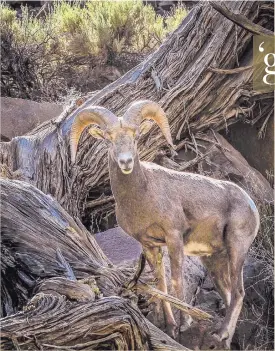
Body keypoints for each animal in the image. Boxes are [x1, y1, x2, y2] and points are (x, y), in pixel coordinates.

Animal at [70, 100, 260, 348]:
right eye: (109, 138)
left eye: (135, 137)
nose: (126, 162)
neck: (143, 197)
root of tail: (251, 205)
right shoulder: (150, 245)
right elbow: (161, 285)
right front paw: (171, 328)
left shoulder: (173, 237)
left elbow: (176, 281)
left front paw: (185, 323)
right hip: (213, 259)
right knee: (228, 294)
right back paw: (225, 340)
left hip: (237, 248)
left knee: (238, 293)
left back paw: (220, 334)